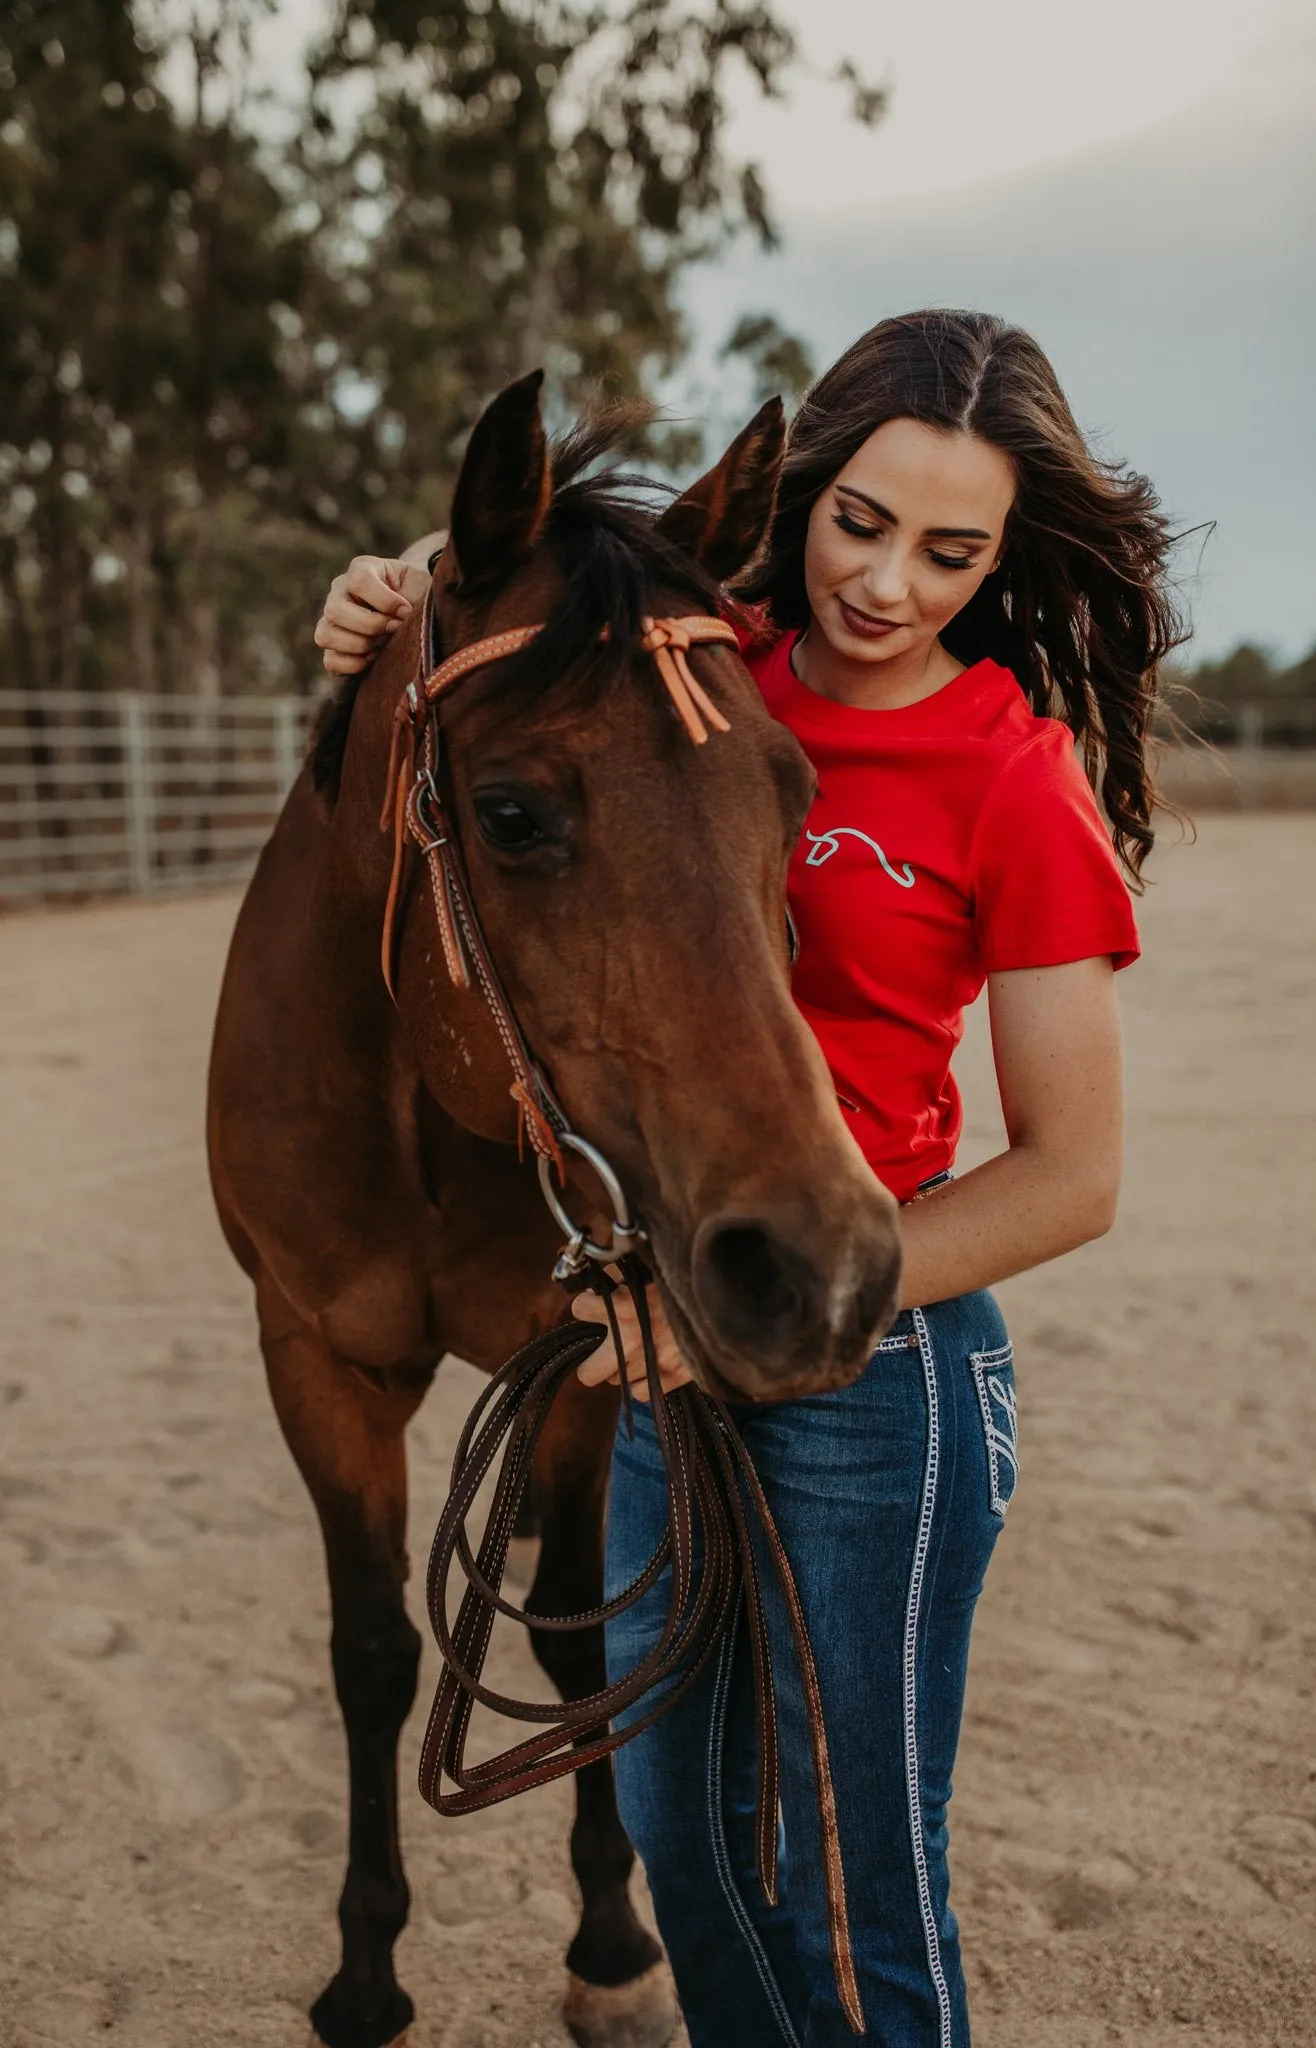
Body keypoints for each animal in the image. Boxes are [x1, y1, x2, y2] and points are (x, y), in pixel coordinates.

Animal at [208, 376, 904, 2048]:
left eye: (795, 792)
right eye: (513, 814)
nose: (828, 1271)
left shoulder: (591, 1352)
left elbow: (579, 1632)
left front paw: (611, 1945)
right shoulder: (314, 1361)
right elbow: (375, 1652)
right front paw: (367, 1970)